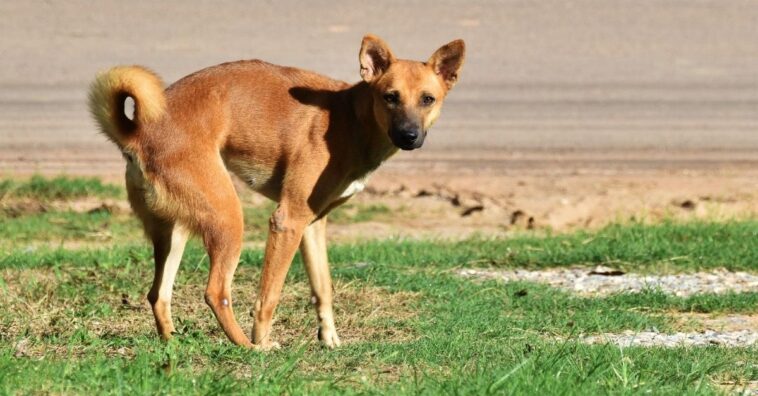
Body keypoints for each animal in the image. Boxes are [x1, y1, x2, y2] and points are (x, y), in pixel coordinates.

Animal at [92, 34, 466, 350]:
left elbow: (323, 289)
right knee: (216, 292)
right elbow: (269, 296)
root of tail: (138, 132)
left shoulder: (312, 226)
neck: (349, 118)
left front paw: (329, 339)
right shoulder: (287, 222)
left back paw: (174, 342)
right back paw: (248, 347)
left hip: (176, 230)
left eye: (428, 99)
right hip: (228, 220)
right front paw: (264, 341)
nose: (409, 136)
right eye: (390, 97)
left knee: (158, 294)